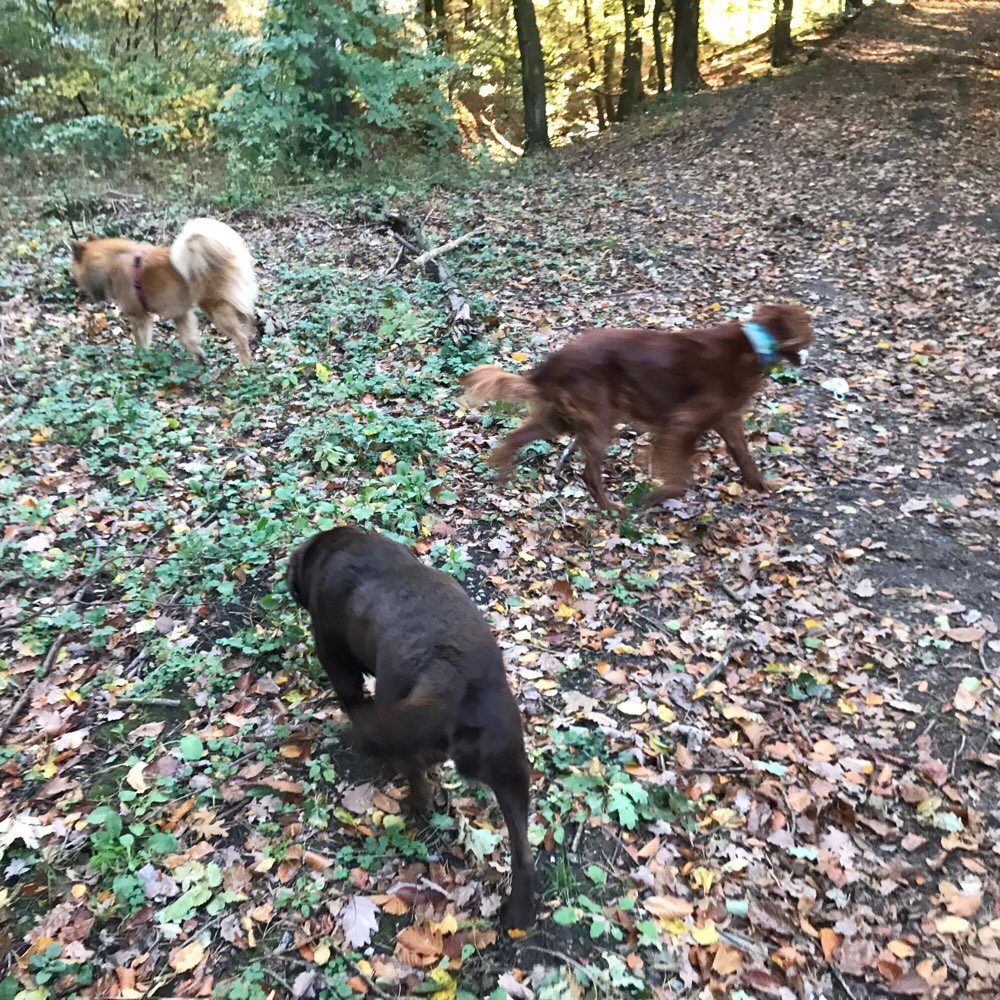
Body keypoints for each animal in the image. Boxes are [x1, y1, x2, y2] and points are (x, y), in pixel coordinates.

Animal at [70, 217, 258, 366]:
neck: (110, 262)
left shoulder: (139, 317)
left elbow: (141, 343)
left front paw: (140, 360)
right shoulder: (181, 314)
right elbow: (190, 340)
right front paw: (200, 361)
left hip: (215, 309)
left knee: (240, 338)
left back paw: (244, 366)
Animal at [288, 524, 536, 928]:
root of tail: (449, 674)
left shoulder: (336, 658)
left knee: (417, 779)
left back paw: (417, 805)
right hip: (510, 764)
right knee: (524, 849)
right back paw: (519, 912)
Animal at [460, 300, 812, 512]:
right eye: (808, 330)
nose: (812, 350)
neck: (753, 345)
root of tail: (549, 366)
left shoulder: (728, 419)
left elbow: (745, 457)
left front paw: (764, 485)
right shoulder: (679, 425)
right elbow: (681, 481)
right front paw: (651, 497)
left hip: (558, 418)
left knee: (512, 439)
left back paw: (501, 477)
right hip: (598, 420)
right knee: (589, 473)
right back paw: (611, 508)